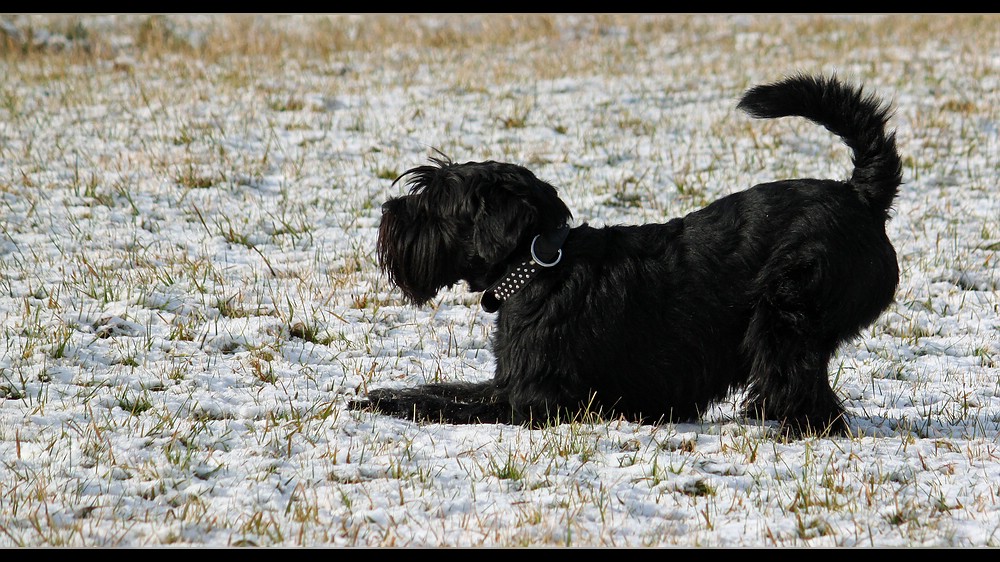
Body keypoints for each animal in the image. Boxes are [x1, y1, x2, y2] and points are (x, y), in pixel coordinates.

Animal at [354, 74, 908, 434]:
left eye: (435, 202)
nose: (388, 211)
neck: (537, 266)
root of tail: (862, 195)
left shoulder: (532, 400)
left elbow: (450, 405)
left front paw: (386, 403)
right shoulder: (505, 380)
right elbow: (445, 387)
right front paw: (382, 394)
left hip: (786, 310)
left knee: (804, 388)